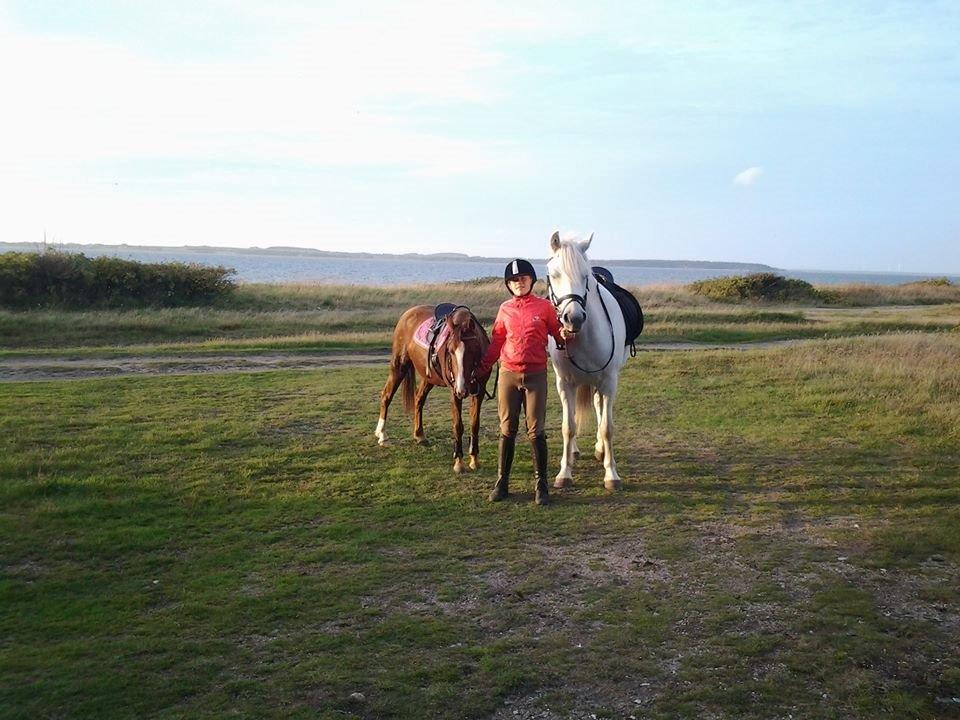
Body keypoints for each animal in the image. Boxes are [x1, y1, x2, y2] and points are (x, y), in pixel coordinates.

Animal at [374, 304, 492, 472]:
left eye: (472, 350)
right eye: (450, 350)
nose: (462, 389)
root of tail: (408, 313)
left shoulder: (479, 392)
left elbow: (475, 424)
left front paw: (474, 460)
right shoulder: (454, 392)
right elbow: (458, 426)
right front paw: (459, 462)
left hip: (427, 377)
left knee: (418, 399)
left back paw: (419, 435)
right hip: (399, 366)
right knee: (386, 395)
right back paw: (382, 435)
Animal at [548, 231, 632, 490]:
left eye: (585, 276)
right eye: (554, 274)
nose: (573, 318)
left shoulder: (609, 383)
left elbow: (607, 428)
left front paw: (611, 474)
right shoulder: (564, 383)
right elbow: (568, 427)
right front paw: (564, 472)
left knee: (598, 407)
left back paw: (600, 450)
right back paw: (574, 452)